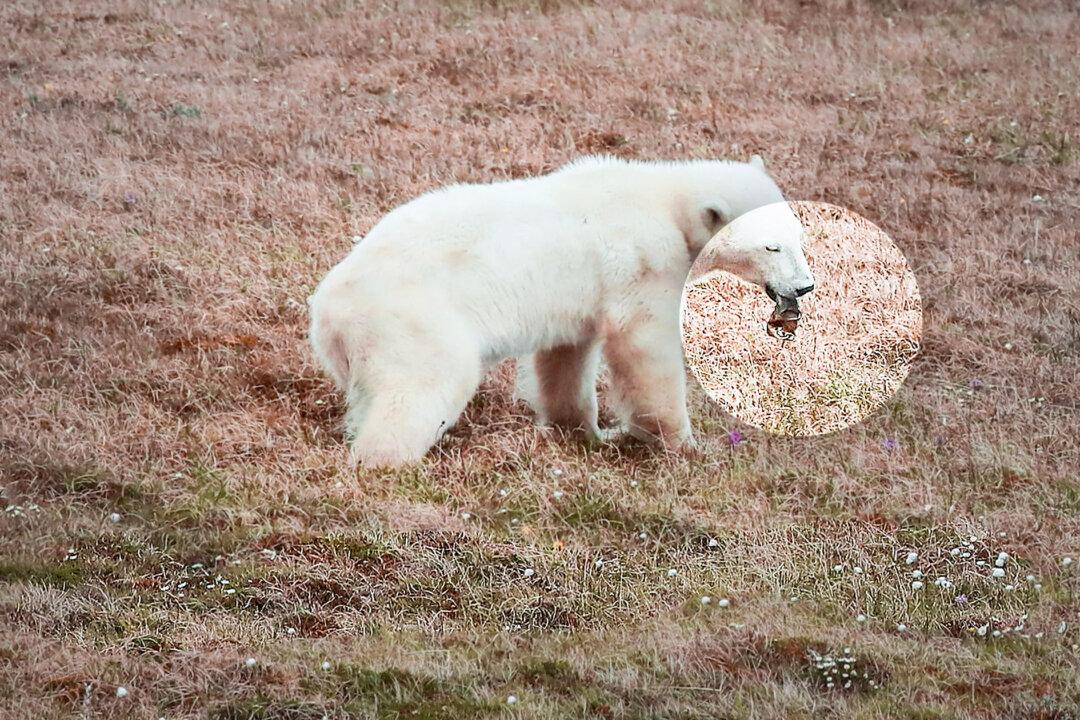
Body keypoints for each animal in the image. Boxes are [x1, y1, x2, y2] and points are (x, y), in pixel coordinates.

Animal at [308, 155, 814, 468]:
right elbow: (646, 351)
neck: (664, 201)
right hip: (414, 320)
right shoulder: (644, 266)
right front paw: (683, 444)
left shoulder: (580, 294)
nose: (805, 286)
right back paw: (386, 462)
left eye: (797, 233)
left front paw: (582, 432)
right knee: (423, 386)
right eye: (771, 245)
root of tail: (327, 315)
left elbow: (565, 356)